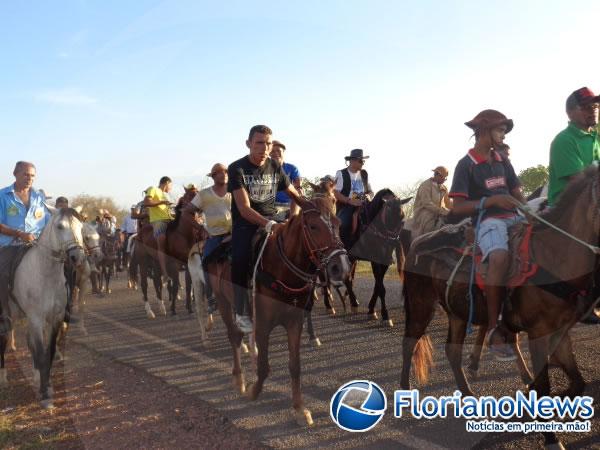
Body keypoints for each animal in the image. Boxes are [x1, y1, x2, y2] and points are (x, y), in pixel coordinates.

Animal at [0, 207, 86, 408]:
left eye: (81, 226)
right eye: (60, 226)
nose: (77, 257)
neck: (45, 274)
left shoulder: (55, 318)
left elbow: (50, 351)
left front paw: (44, 385)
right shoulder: (36, 319)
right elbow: (39, 352)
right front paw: (45, 395)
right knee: (3, 340)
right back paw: (3, 379)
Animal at [203, 197, 352, 426]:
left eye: (337, 223)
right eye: (313, 226)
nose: (341, 267)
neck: (282, 270)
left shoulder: (294, 322)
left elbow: (295, 365)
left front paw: (299, 408)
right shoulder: (263, 325)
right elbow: (264, 367)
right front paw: (253, 391)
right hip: (223, 302)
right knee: (234, 336)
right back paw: (239, 378)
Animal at [400, 166, 600, 450]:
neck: (554, 257)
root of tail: (417, 243)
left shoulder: (560, 332)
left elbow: (578, 382)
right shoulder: (538, 333)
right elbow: (543, 385)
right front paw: (550, 437)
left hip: (457, 313)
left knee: (452, 351)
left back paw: (468, 394)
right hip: (421, 305)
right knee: (409, 343)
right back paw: (406, 391)